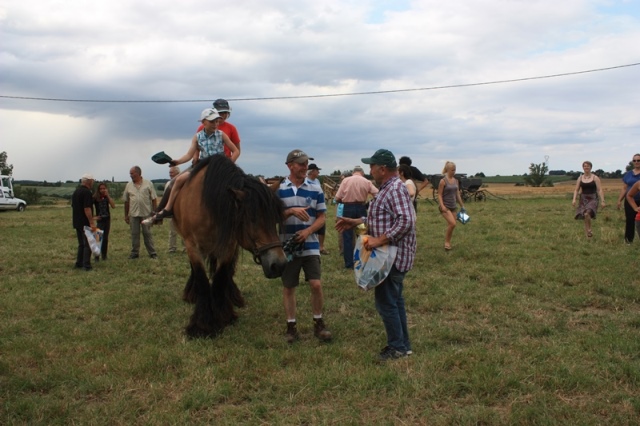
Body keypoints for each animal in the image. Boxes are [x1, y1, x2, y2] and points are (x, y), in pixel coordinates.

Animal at [166, 155, 286, 338]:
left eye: (275, 219)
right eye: (252, 220)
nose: (279, 265)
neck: (209, 206)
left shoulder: (229, 245)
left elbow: (220, 277)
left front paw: (224, 315)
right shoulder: (192, 245)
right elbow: (202, 278)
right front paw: (202, 324)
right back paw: (192, 294)